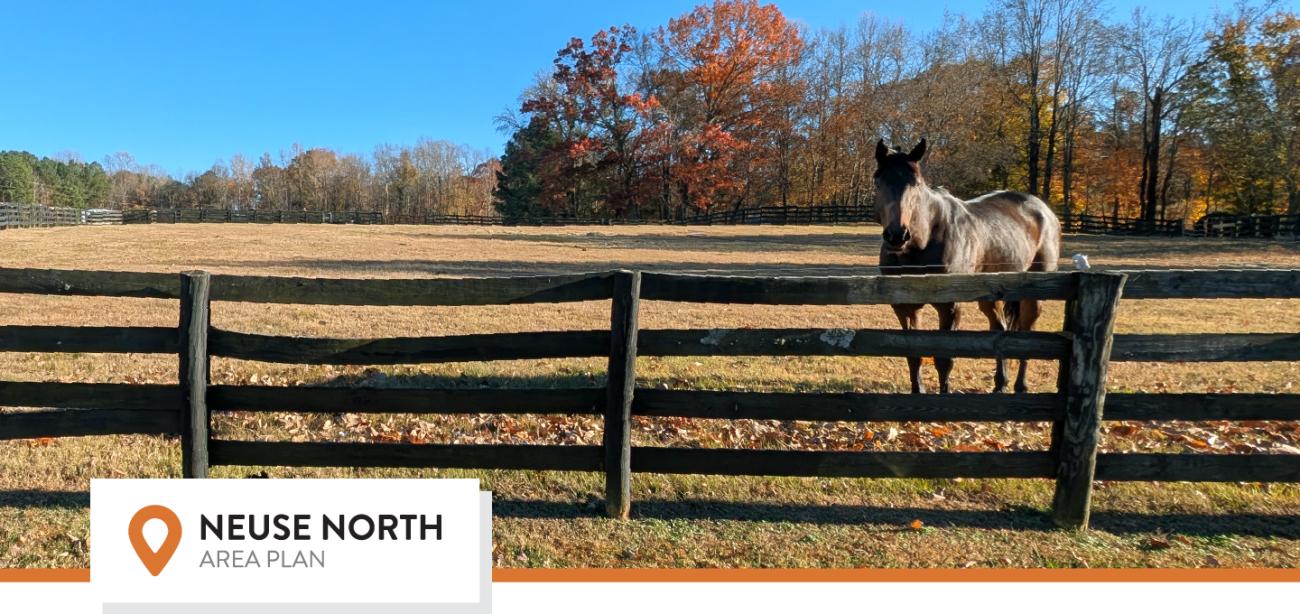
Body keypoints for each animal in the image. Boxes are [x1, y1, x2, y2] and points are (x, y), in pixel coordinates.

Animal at [873, 138, 1061, 394]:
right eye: (878, 183)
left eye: (916, 185)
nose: (897, 236)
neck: (924, 240)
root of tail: (1044, 210)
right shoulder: (904, 307)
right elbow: (913, 354)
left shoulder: (950, 306)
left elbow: (944, 359)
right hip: (991, 296)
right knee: (1000, 329)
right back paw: (1000, 385)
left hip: (1033, 295)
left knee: (1027, 334)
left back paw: (1020, 386)